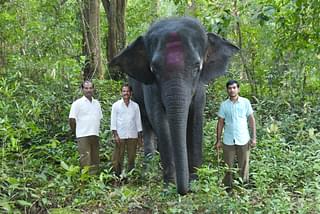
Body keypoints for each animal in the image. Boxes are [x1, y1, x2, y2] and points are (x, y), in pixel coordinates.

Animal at [109, 16, 239, 194]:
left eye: (197, 67)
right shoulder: (150, 87)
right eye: (154, 69)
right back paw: (149, 167)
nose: (184, 190)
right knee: (146, 123)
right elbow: (160, 121)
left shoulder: (199, 87)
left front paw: (195, 181)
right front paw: (169, 185)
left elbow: (196, 119)